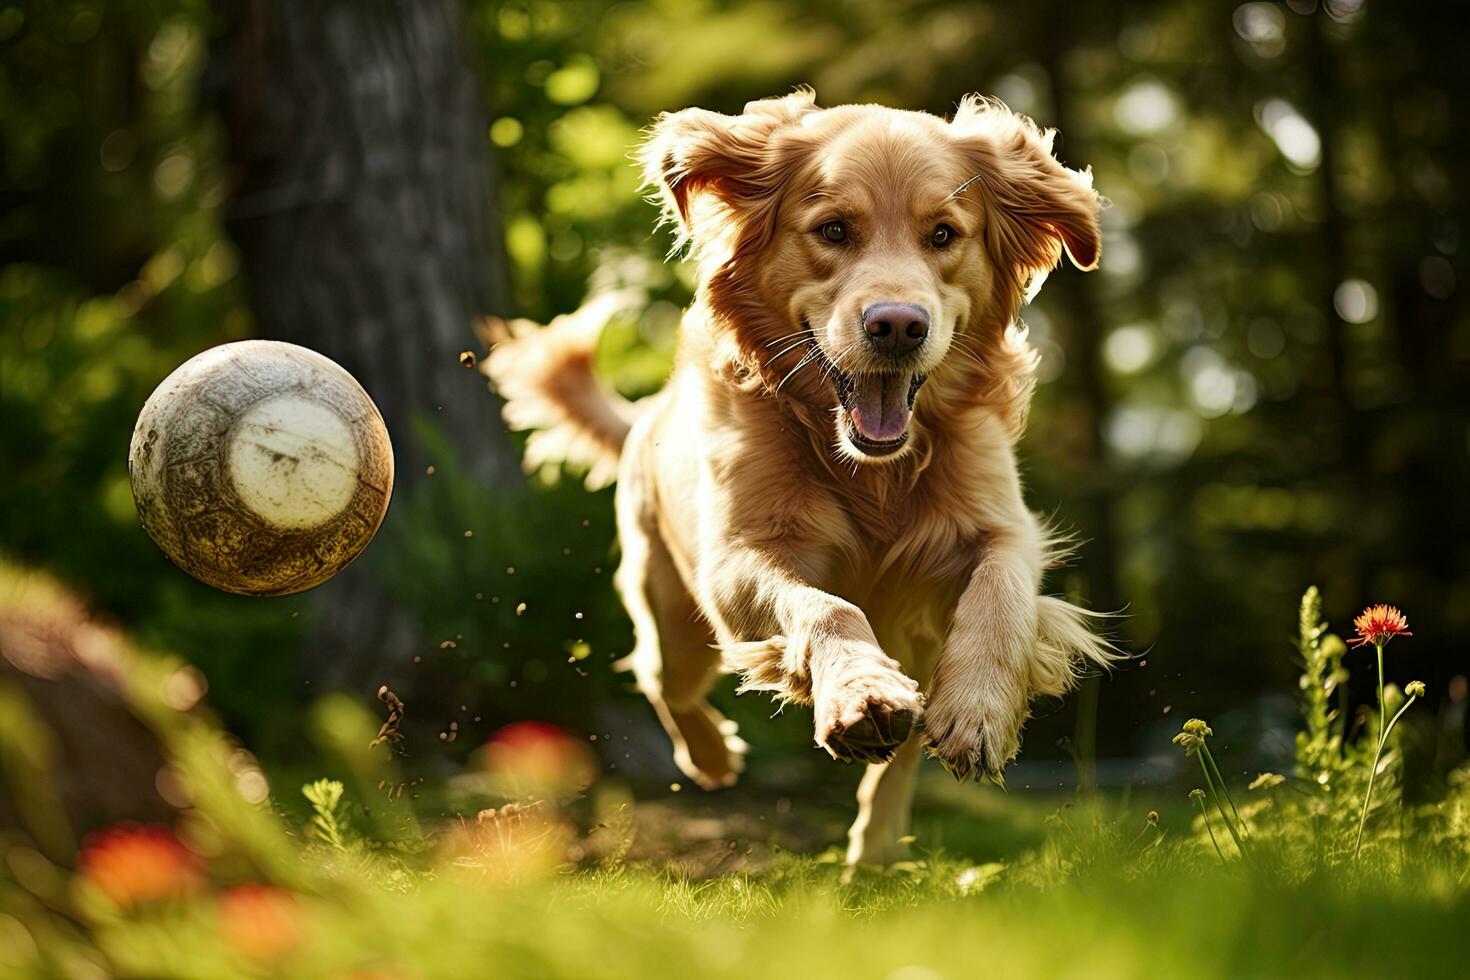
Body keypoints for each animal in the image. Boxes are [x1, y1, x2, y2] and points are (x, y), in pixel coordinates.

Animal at [485, 88, 1111, 863]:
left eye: (943, 235)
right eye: (833, 229)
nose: (898, 326)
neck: (871, 470)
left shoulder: (1002, 528)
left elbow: (1001, 592)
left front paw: (979, 713)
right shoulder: (739, 561)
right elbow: (826, 607)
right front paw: (859, 695)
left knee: (903, 746)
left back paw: (875, 846)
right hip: (673, 610)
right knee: (665, 679)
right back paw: (713, 756)